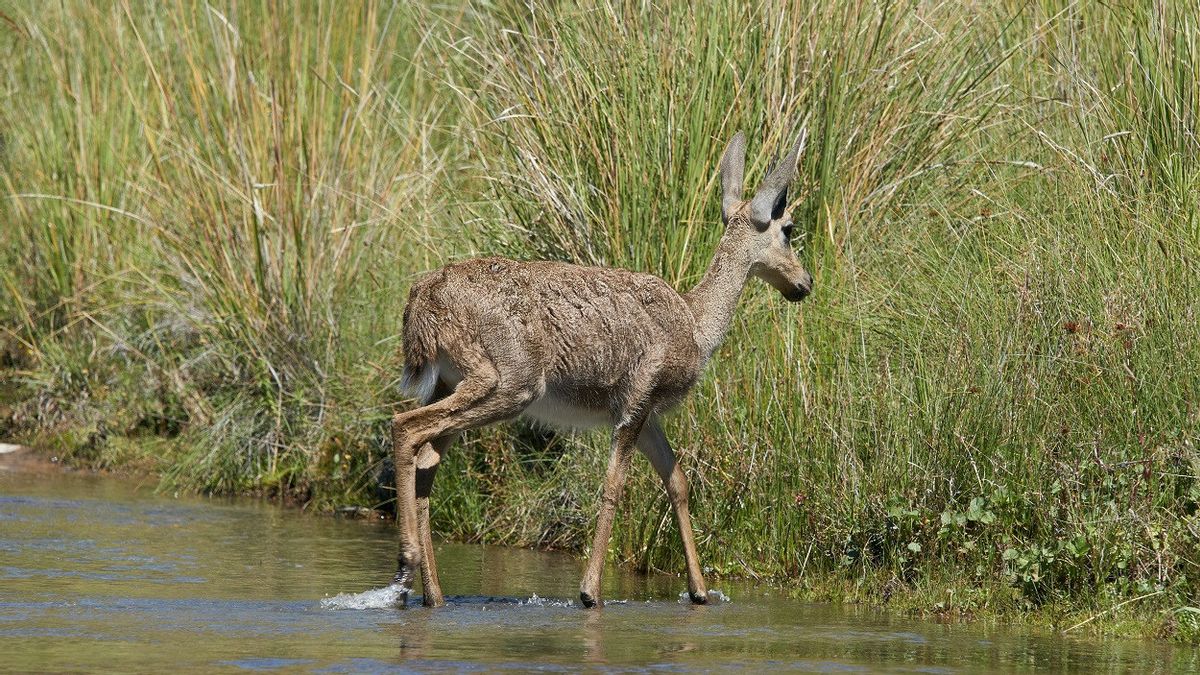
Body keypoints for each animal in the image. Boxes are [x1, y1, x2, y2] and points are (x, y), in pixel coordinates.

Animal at [393, 128, 816, 607]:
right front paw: (590, 591)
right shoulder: (636, 398)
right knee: (406, 427)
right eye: (788, 229)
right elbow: (614, 486)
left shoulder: (647, 413)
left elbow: (678, 481)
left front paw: (700, 591)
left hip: (450, 382)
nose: (804, 283)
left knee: (427, 458)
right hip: (507, 380)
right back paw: (406, 559)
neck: (696, 324)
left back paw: (432, 593)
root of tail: (420, 306)